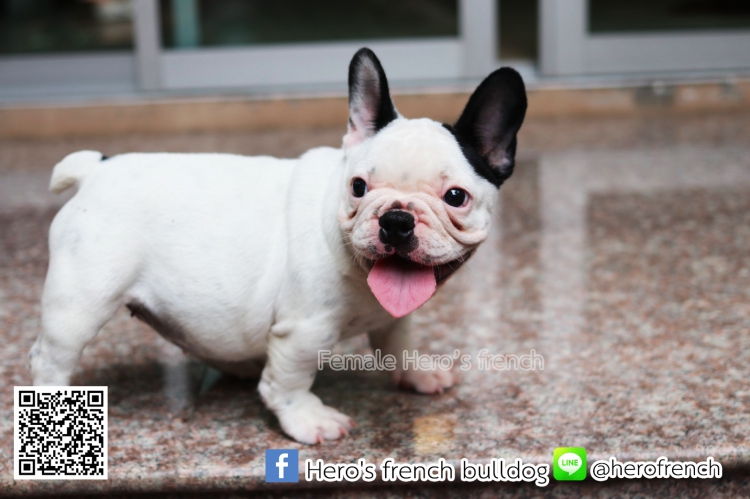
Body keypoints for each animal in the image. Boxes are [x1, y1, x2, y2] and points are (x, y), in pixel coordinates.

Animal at [30, 48, 527, 444]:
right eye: (359, 187)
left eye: (455, 197)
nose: (397, 220)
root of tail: (98, 167)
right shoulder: (303, 331)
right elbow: (289, 382)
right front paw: (308, 419)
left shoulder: (392, 315)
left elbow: (397, 340)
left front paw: (415, 373)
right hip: (80, 304)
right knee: (50, 356)